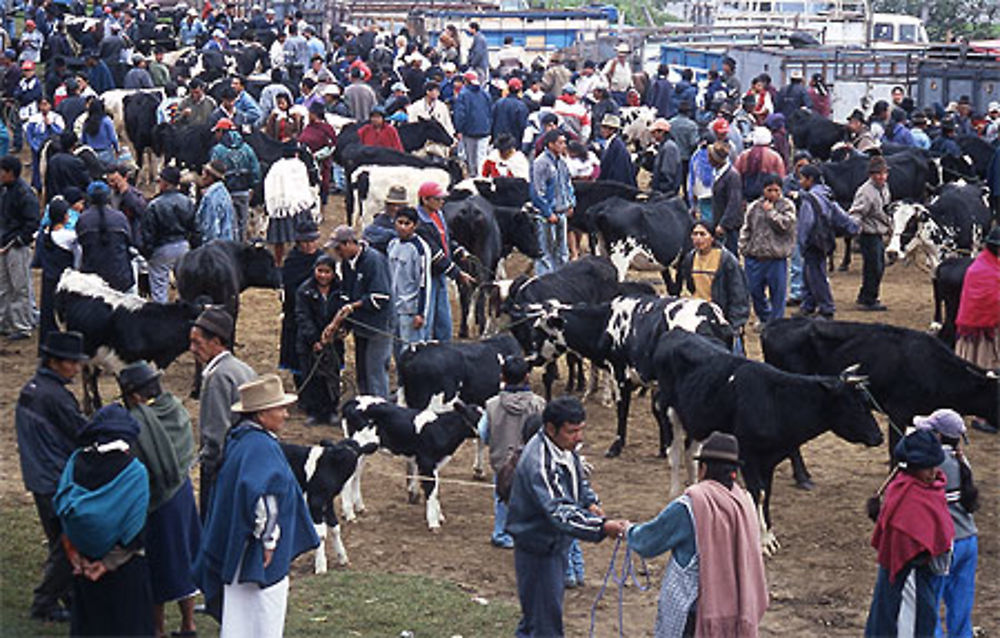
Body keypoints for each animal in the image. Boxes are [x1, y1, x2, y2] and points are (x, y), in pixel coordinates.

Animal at [280, 440, 376, 576]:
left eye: (355, 456)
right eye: (340, 456)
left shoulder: (328, 501)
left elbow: (335, 527)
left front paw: (342, 557)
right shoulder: (315, 503)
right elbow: (320, 534)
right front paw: (321, 566)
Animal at [340, 398, 484, 532]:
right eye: (478, 416)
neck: (441, 427)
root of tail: (354, 400)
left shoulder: (435, 464)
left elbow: (435, 491)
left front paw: (440, 517)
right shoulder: (426, 462)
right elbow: (431, 490)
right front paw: (434, 523)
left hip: (364, 452)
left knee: (356, 476)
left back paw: (359, 508)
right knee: (349, 479)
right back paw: (350, 515)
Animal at [652, 330, 880, 556]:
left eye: (867, 402)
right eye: (855, 405)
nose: (879, 436)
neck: (775, 401)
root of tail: (676, 332)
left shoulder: (770, 459)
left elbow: (766, 493)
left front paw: (769, 535)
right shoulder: (748, 455)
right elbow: (758, 493)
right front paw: (762, 541)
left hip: (700, 421)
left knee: (691, 453)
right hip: (670, 411)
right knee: (674, 454)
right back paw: (675, 494)